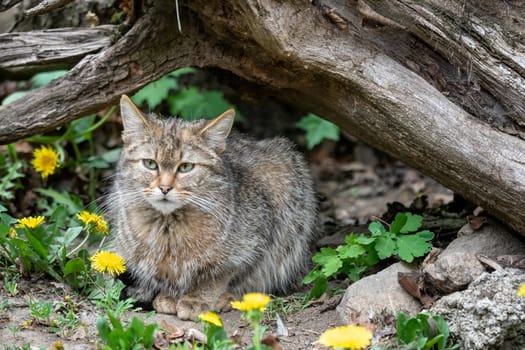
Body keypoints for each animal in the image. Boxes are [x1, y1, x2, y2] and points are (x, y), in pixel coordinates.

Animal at [108, 95, 318, 320]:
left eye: (186, 167)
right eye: (150, 163)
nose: (164, 188)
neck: (169, 228)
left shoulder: (251, 246)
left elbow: (217, 277)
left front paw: (198, 298)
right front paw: (170, 295)